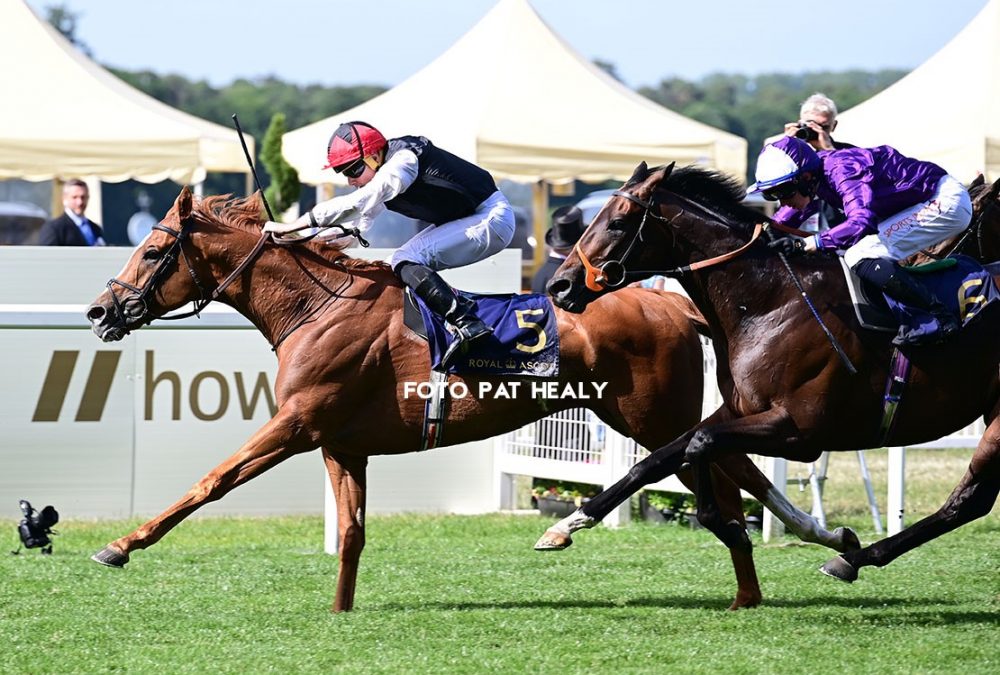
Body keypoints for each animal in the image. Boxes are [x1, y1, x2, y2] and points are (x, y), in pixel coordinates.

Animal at [82, 185, 856, 612]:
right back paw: (815, 551)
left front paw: (120, 545)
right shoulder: (341, 443)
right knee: (735, 470)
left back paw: (769, 573)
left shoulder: (297, 425)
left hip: (651, 415)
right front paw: (340, 610)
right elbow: (352, 532)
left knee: (722, 482)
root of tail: (672, 303)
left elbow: (212, 481)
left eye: (152, 253)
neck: (315, 306)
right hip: (657, 416)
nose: (99, 310)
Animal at [544, 166, 1000, 596]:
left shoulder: (800, 431)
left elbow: (699, 445)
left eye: (619, 222)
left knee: (966, 502)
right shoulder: (737, 411)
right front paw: (569, 523)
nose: (558, 285)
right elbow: (659, 458)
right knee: (971, 502)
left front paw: (725, 524)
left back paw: (853, 559)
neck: (770, 302)